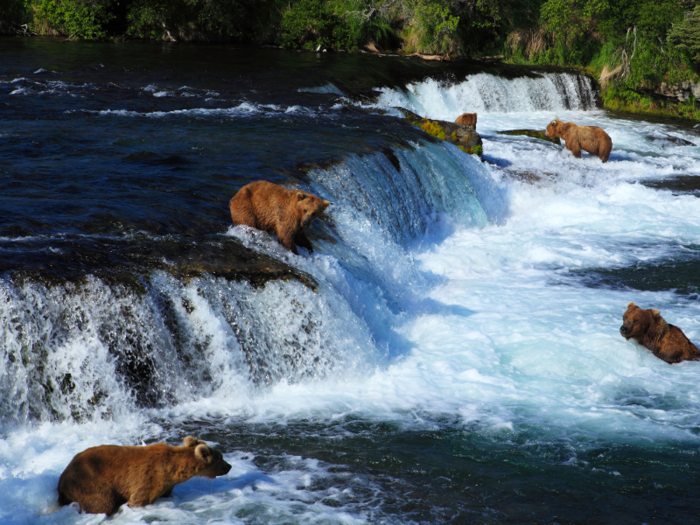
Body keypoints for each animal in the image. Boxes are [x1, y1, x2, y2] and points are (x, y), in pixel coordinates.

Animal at [57, 434, 232, 516]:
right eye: (221, 458)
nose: (229, 466)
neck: (174, 469)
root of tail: (62, 477)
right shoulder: (151, 478)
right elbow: (139, 499)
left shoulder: (168, 484)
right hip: (87, 479)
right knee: (102, 501)